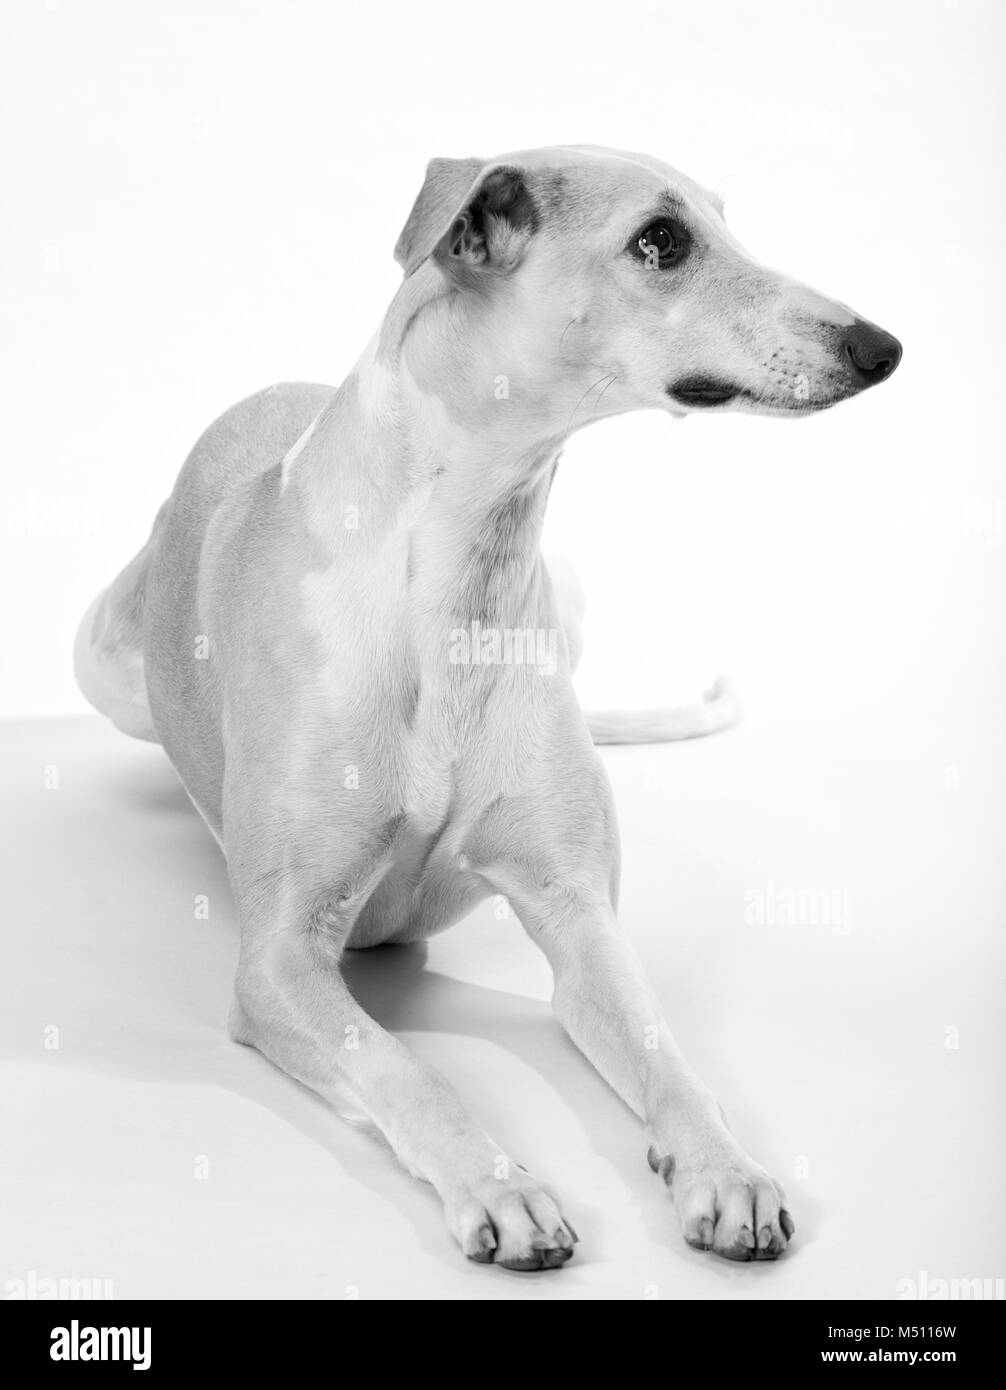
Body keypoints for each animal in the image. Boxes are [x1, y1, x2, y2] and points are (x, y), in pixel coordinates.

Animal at [74, 143, 900, 1273]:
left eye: (724, 220)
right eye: (661, 240)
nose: (883, 346)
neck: (456, 583)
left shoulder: (577, 914)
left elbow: (666, 1055)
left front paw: (725, 1170)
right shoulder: (278, 962)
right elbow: (406, 1068)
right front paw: (501, 1187)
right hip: (99, 658)